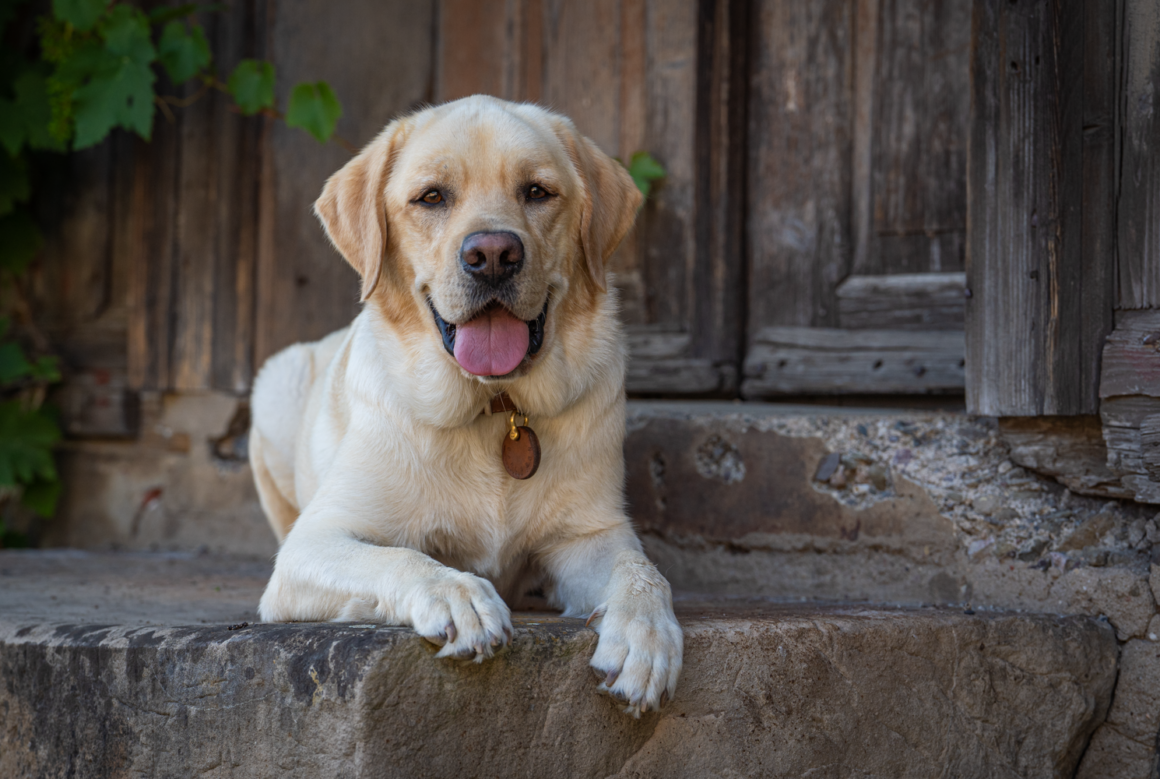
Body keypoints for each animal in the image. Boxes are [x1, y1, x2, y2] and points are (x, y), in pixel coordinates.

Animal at [244, 95, 677, 718]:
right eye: (432, 197)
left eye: (537, 192)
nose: (493, 254)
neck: (495, 408)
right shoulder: (314, 543)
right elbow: (401, 557)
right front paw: (459, 596)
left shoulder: (590, 534)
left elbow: (642, 571)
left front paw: (647, 638)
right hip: (275, 383)